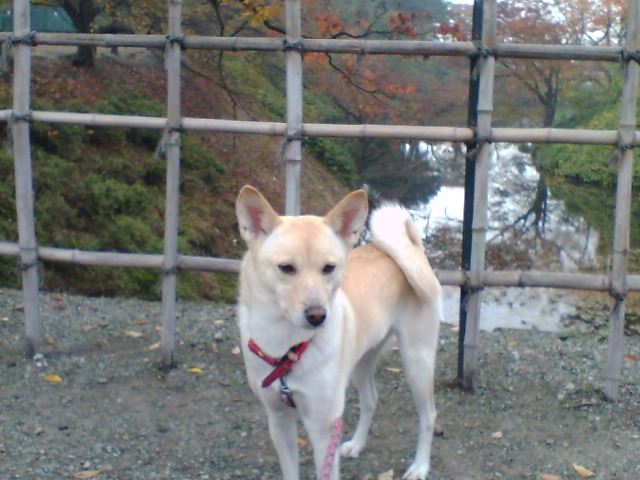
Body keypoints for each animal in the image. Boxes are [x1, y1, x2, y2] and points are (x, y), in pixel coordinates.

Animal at [235, 185, 442, 479]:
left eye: (329, 268)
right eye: (286, 268)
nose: (317, 315)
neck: (287, 345)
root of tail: (407, 251)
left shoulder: (323, 426)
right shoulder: (278, 419)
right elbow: (290, 470)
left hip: (418, 362)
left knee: (428, 416)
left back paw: (420, 466)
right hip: (361, 362)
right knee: (371, 399)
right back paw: (356, 444)